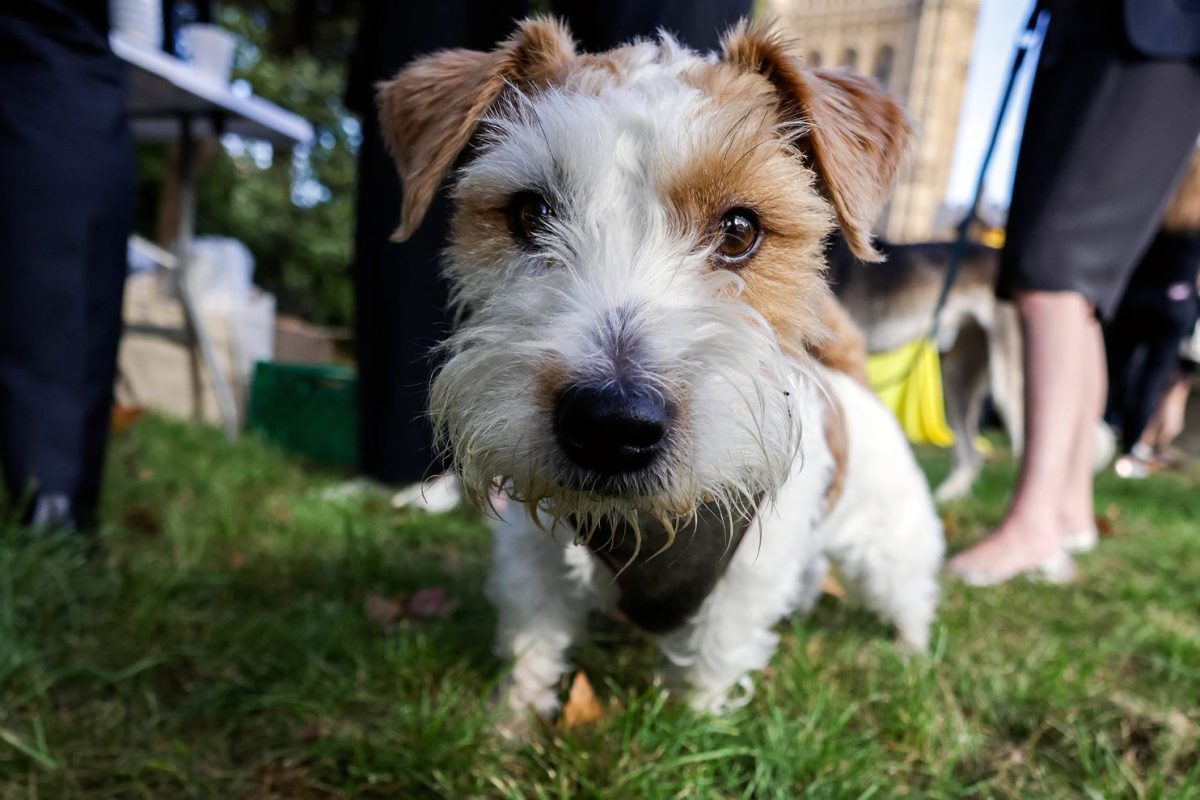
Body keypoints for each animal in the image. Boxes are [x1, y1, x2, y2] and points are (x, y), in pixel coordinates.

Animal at [379, 17, 940, 719]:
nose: (611, 424)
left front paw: (687, 731)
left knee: (909, 590)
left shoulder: (742, 589)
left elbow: (705, 668)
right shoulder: (534, 559)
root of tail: (852, 383)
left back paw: (912, 653)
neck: (642, 526)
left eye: (739, 229)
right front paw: (511, 722)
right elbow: (533, 642)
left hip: (889, 544)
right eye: (530, 212)